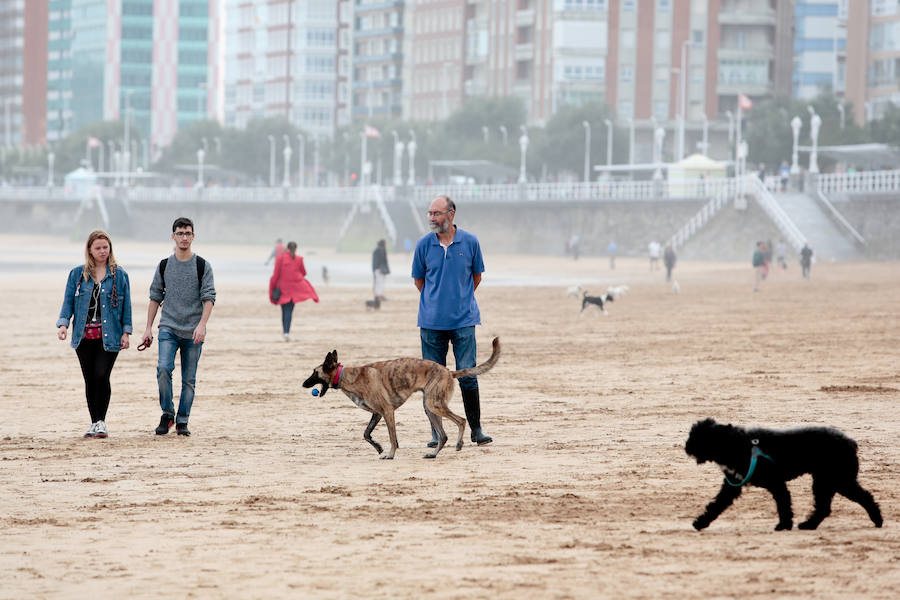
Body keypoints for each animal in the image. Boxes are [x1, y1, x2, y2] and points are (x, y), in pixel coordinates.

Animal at [300, 338, 500, 460]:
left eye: (314, 373)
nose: (303, 384)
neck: (348, 376)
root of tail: (448, 371)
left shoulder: (387, 412)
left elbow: (392, 438)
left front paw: (389, 454)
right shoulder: (377, 414)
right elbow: (366, 433)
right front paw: (378, 447)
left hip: (434, 404)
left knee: (461, 420)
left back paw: (459, 443)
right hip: (429, 408)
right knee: (443, 436)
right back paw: (434, 454)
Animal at [684, 418, 884, 528]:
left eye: (699, 437)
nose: (686, 447)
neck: (739, 444)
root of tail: (851, 443)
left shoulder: (776, 483)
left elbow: (783, 503)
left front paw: (783, 525)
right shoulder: (732, 486)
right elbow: (716, 505)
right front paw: (701, 522)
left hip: (836, 480)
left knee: (862, 498)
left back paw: (877, 520)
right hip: (828, 481)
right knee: (826, 507)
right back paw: (809, 525)